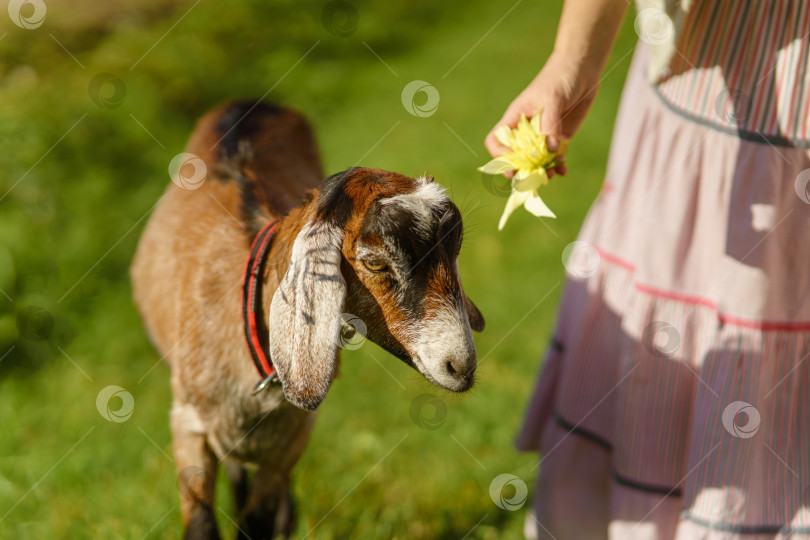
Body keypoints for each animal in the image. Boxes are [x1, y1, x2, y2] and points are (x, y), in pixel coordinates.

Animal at [130, 100, 482, 536]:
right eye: (374, 261)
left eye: (455, 251)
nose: (461, 366)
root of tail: (252, 103)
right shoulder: (188, 423)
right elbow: (201, 524)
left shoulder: (291, 440)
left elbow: (259, 523)